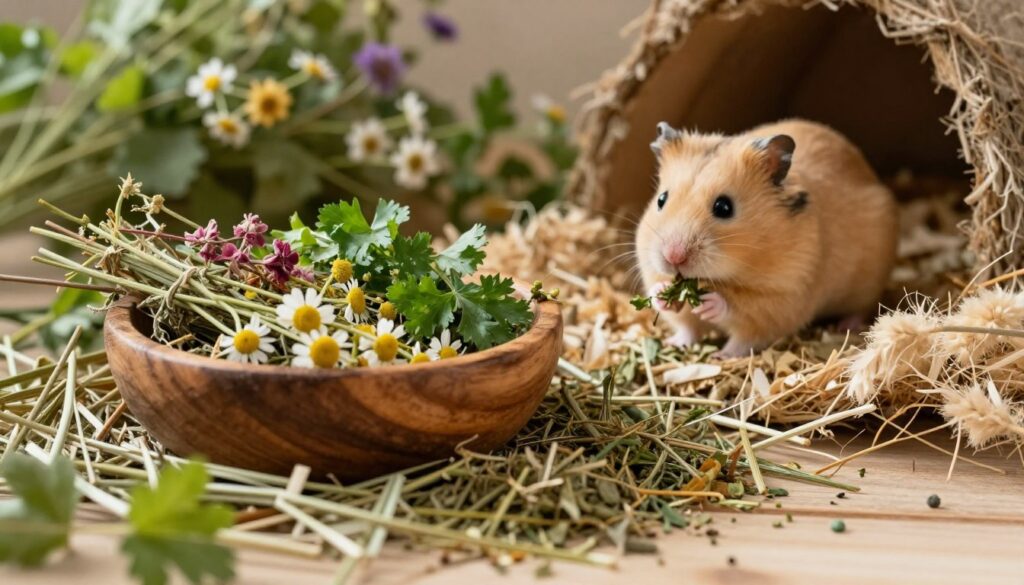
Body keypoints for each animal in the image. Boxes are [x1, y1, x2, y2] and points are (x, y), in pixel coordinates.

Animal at [635, 119, 898, 357]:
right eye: (661, 199)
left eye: (724, 207)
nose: (673, 257)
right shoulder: (653, 272)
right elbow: (685, 323)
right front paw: (663, 294)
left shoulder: (785, 297)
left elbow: (743, 320)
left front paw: (713, 314)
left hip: (867, 285)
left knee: (861, 309)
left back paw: (845, 326)